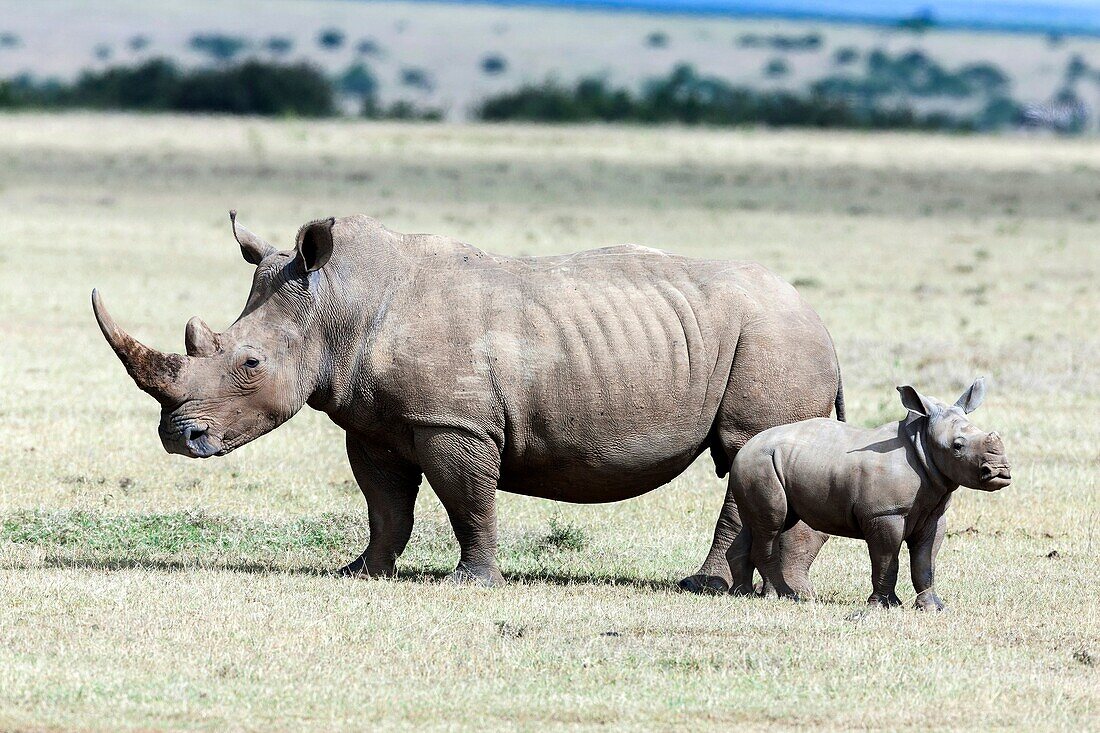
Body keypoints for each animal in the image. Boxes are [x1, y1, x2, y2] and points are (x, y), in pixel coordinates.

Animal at [721, 376, 1012, 603]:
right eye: (957, 447)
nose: (1000, 471)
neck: (922, 444)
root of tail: (746, 448)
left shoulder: (934, 514)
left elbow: (925, 561)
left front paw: (933, 607)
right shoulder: (884, 513)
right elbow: (886, 560)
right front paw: (885, 604)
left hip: (766, 462)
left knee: (763, 523)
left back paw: (742, 594)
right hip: (759, 462)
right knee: (772, 525)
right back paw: (788, 596)